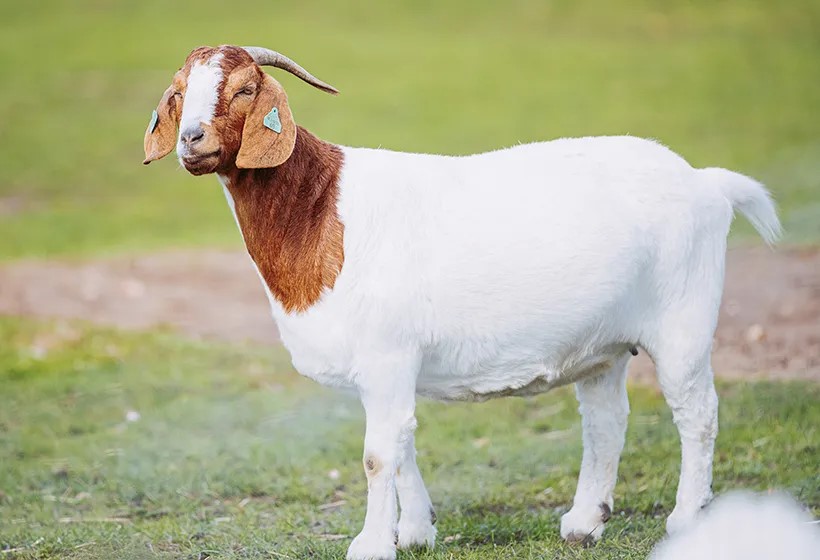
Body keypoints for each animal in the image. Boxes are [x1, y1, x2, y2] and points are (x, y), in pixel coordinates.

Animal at [143, 45, 781, 560]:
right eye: (178, 94)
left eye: (245, 89)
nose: (192, 139)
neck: (322, 211)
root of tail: (706, 182)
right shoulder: (384, 367)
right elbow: (401, 442)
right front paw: (415, 532)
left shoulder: (387, 355)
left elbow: (379, 453)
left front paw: (372, 545)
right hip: (603, 343)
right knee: (606, 420)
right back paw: (583, 522)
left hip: (684, 322)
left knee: (697, 414)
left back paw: (685, 520)